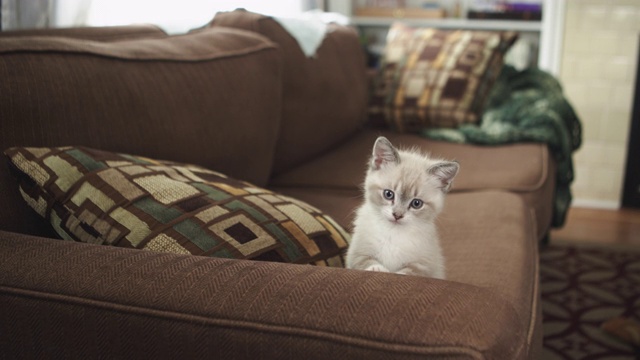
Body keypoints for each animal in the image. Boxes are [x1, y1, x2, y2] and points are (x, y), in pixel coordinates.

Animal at [344, 136, 460, 280]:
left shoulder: (424, 265)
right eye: (388, 194)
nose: (397, 215)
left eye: (416, 203)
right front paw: (378, 269)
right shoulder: (356, 253)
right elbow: (365, 261)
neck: (393, 232)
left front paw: (396, 274)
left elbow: (407, 273)